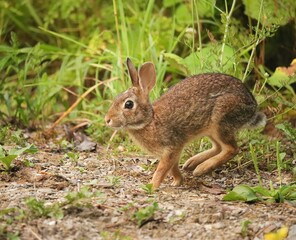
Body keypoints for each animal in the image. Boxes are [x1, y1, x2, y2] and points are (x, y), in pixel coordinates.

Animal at [105, 58, 268, 189]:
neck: (150, 120)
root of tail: (252, 106)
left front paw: (152, 186)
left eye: (128, 104)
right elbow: (173, 168)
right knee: (218, 147)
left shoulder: (172, 146)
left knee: (231, 149)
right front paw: (177, 181)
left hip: (221, 120)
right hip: (210, 128)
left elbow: (162, 169)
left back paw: (201, 168)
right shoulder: (174, 151)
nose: (107, 119)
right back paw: (192, 163)